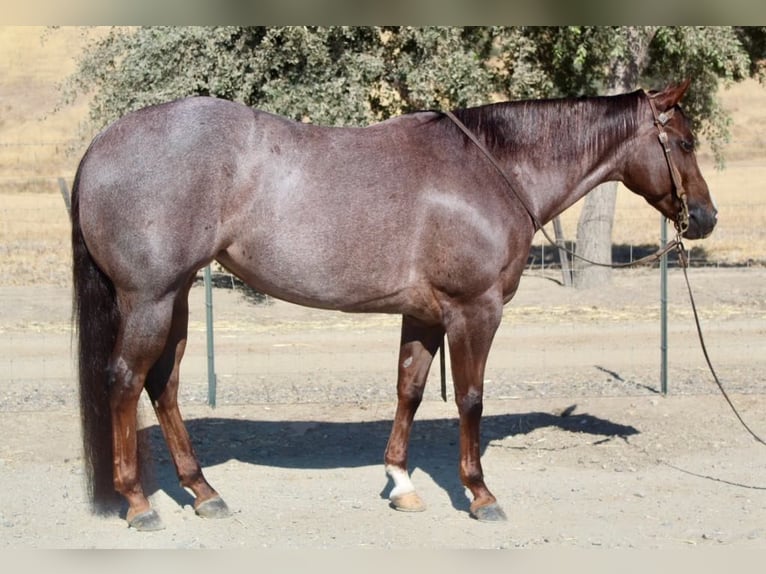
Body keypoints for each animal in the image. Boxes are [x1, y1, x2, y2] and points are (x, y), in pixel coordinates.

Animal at [72, 80, 720, 532]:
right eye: (686, 142)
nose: (706, 217)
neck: (490, 169)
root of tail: (102, 143)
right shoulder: (474, 311)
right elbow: (470, 399)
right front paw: (480, 495)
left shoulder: (425, 315)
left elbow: (409, 389)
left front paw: (401, 484)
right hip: (151, 299)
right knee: (126, 381)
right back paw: (139, 503)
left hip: (176, 297)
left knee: (164, 385)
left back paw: (204, 493)